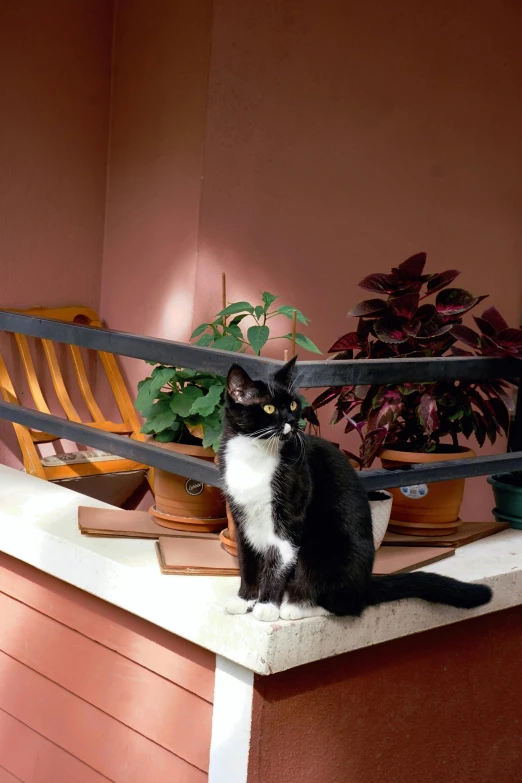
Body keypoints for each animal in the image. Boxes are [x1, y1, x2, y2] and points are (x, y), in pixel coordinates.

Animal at [217, 360, 490, 624]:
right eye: (269, 409)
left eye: (293, 404)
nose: (292, 422)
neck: (254, 455)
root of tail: (365, 585)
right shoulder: (241, 519)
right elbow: (247, 561)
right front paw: (245, 600)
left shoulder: (291, 510)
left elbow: (278, 558)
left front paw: (266, 606)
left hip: (325, 549)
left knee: (345, 604)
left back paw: (295, 606)